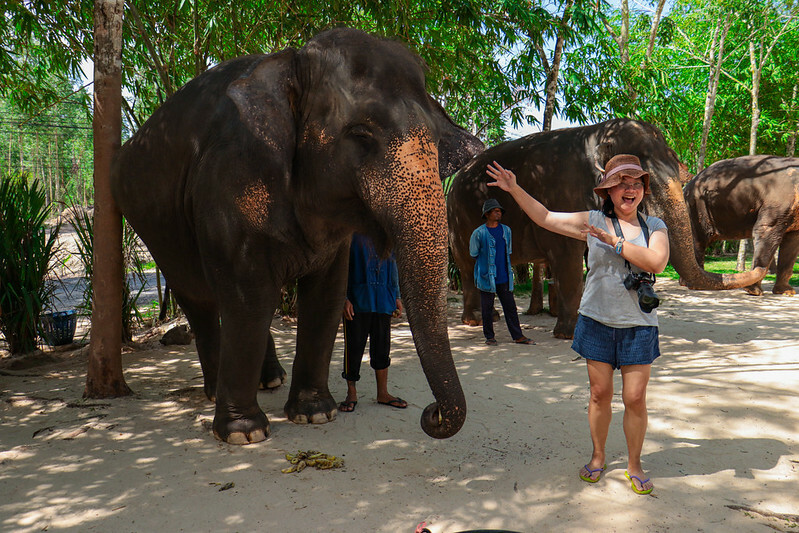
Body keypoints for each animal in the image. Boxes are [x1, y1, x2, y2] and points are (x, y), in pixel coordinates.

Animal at [111, 28, 484, 444]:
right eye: (360, 134)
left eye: (435, 139)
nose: (432, 413)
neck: (291, 62)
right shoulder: (229, 180)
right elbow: (249, 296)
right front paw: (244, 433)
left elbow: (326, 295)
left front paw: (315, 414)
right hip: (153, 224)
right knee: (200, 298)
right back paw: (214, 392)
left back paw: (270, 380)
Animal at [447, 118, 766, 339]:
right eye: (649, 186)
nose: (761, 267)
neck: (595, 132)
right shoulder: (561, 193)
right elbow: (568, 259)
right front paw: (568, 334)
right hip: (457, 221)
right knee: (466, 265)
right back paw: (474, 321)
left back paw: (494, 318)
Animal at [683, 155, 799, 296]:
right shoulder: (778, 203)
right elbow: (765, 230)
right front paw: (754, 291)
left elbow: (792, 241)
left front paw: (786, 292)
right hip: (696, 206)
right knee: (698, 239)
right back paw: (692, 284)